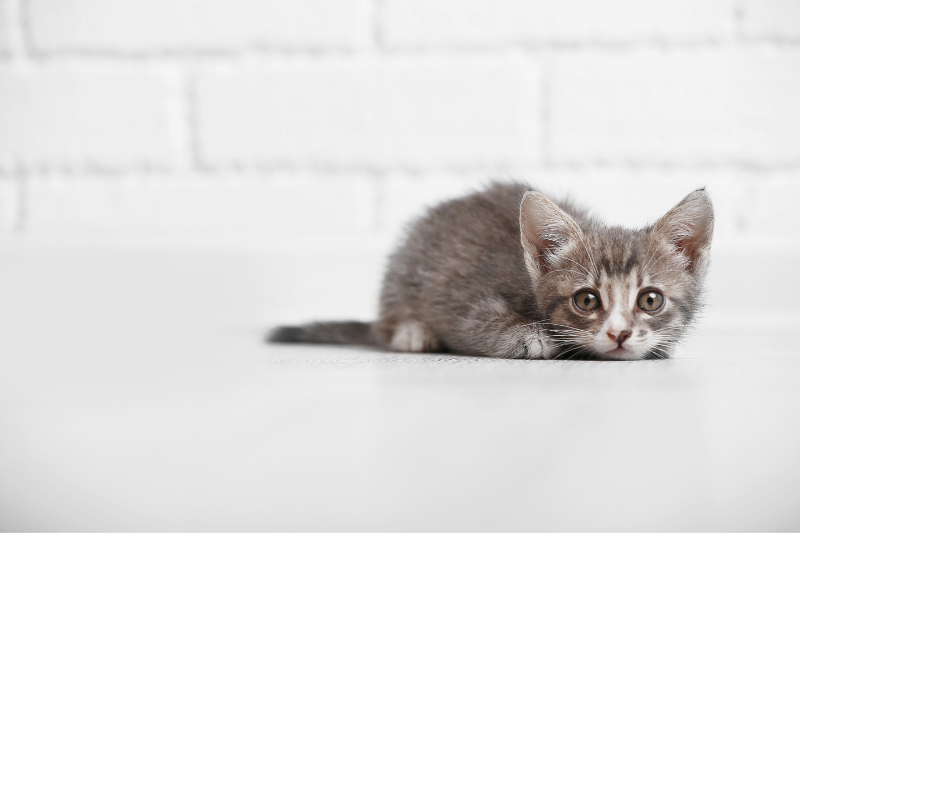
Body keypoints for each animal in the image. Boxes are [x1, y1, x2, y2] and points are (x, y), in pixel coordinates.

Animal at [268, 181, 713, 360]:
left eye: (650, 300)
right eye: (587, 300)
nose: (619, 334)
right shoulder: (464, 302)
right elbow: (475, 324)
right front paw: (532, 338)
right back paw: (412, 332)